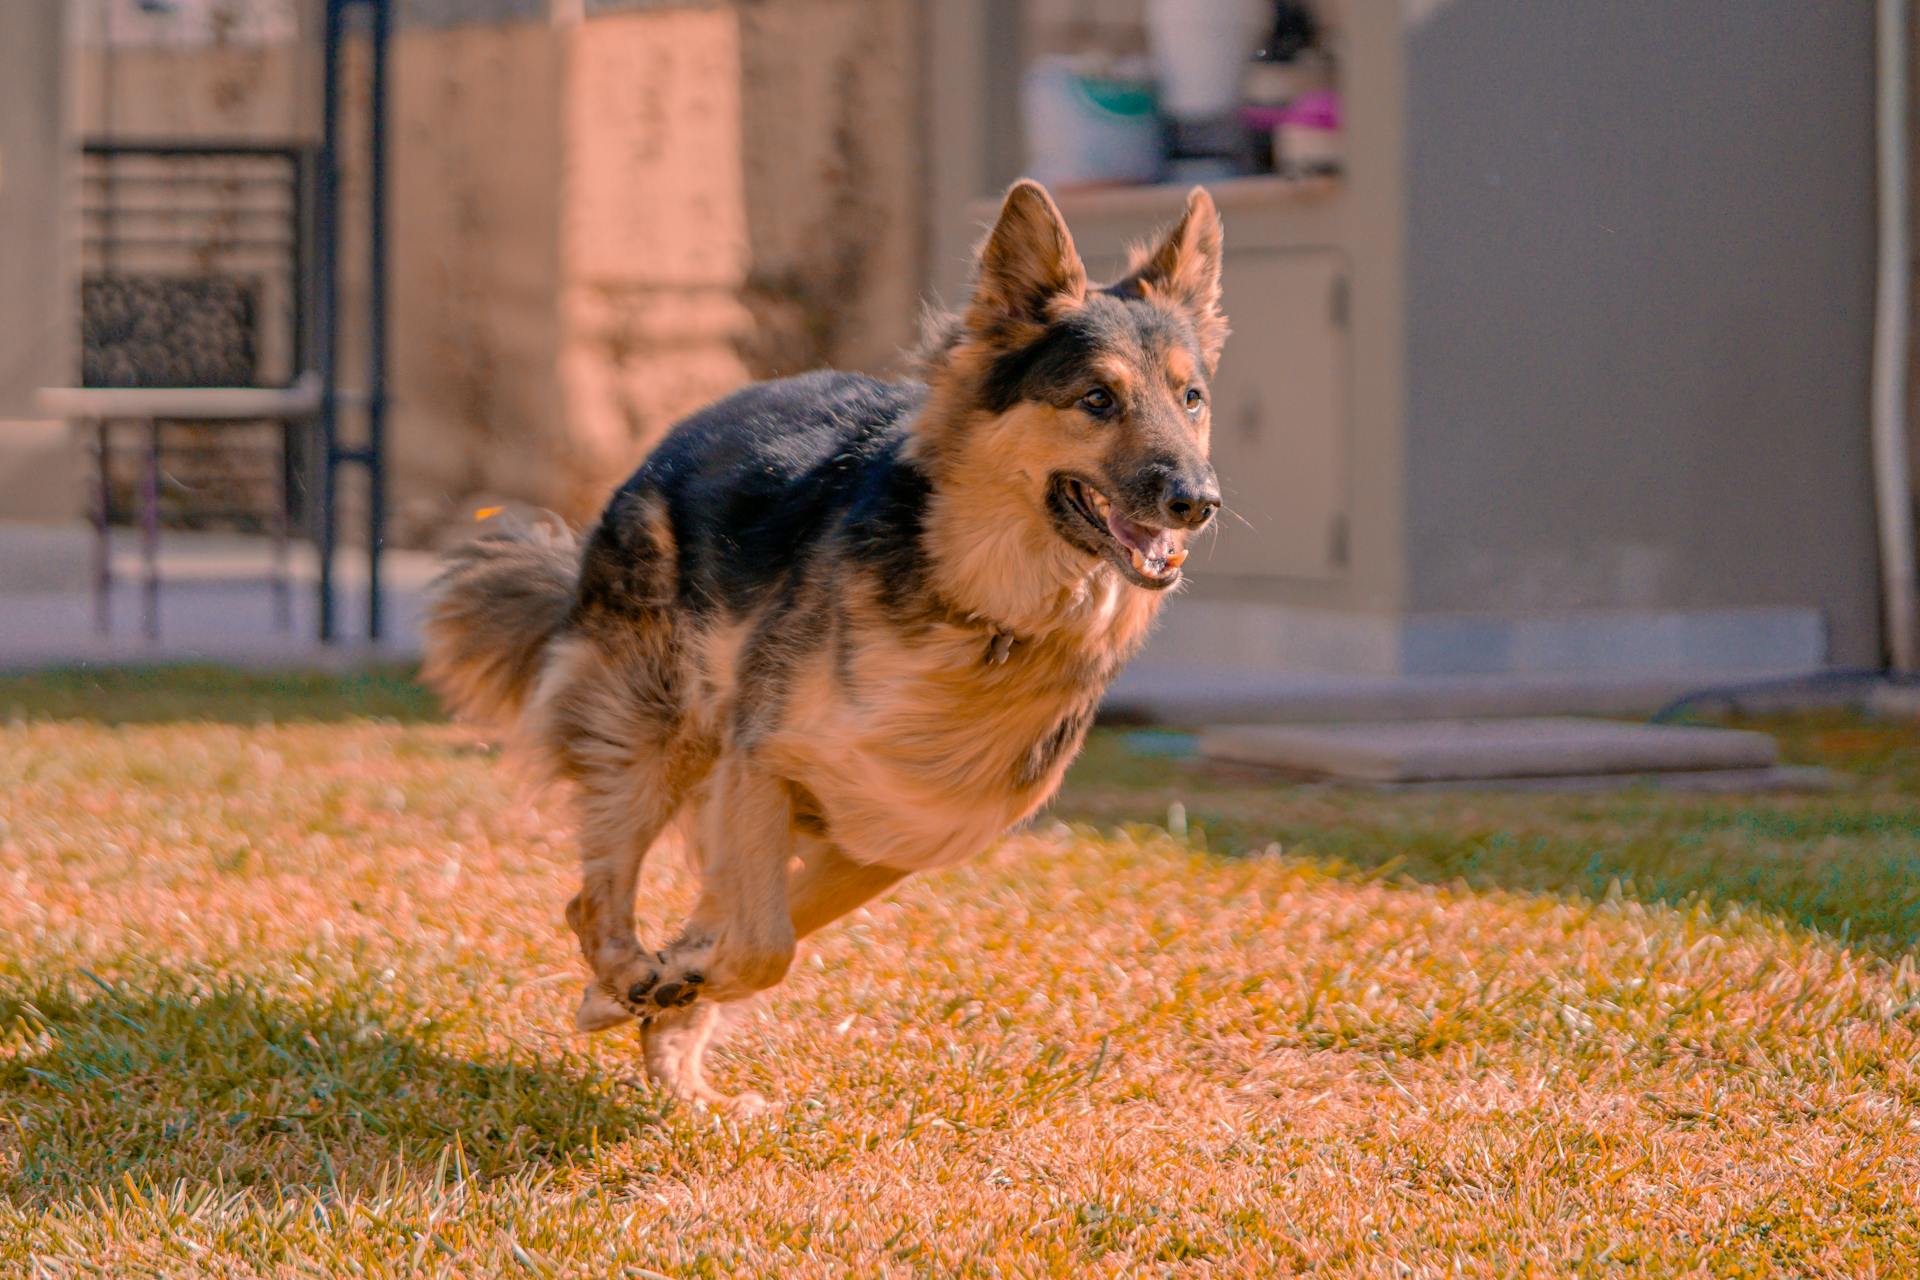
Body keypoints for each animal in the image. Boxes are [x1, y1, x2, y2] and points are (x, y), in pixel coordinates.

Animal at [424, 180, 1228, 1113]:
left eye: (1192, 399)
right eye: (1097, 399)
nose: (1197, 501)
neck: (982, 616)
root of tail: (698, 418)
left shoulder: (887, 840)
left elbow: (766, 932)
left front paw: (681, 981)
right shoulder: (762, 762)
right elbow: (765, 944)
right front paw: (662, 979)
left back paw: (678, 1068)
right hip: (656, 732)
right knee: (594, 899)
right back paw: (625, 977)